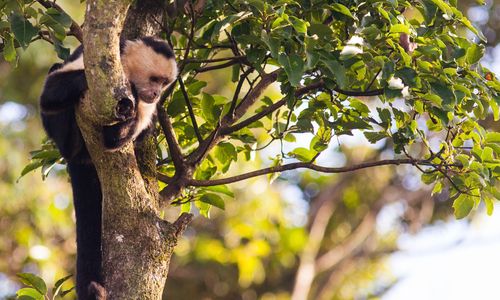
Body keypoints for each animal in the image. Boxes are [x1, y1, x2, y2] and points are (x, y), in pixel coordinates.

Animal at [40, 37, 178, 300]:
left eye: (165, 83)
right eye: (155, 79)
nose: (157, 94)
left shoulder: (144, 105)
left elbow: (118, 139)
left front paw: (123, 128)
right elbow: (50, 92)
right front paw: (87, 81)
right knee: (54, 77)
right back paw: (71, 142)